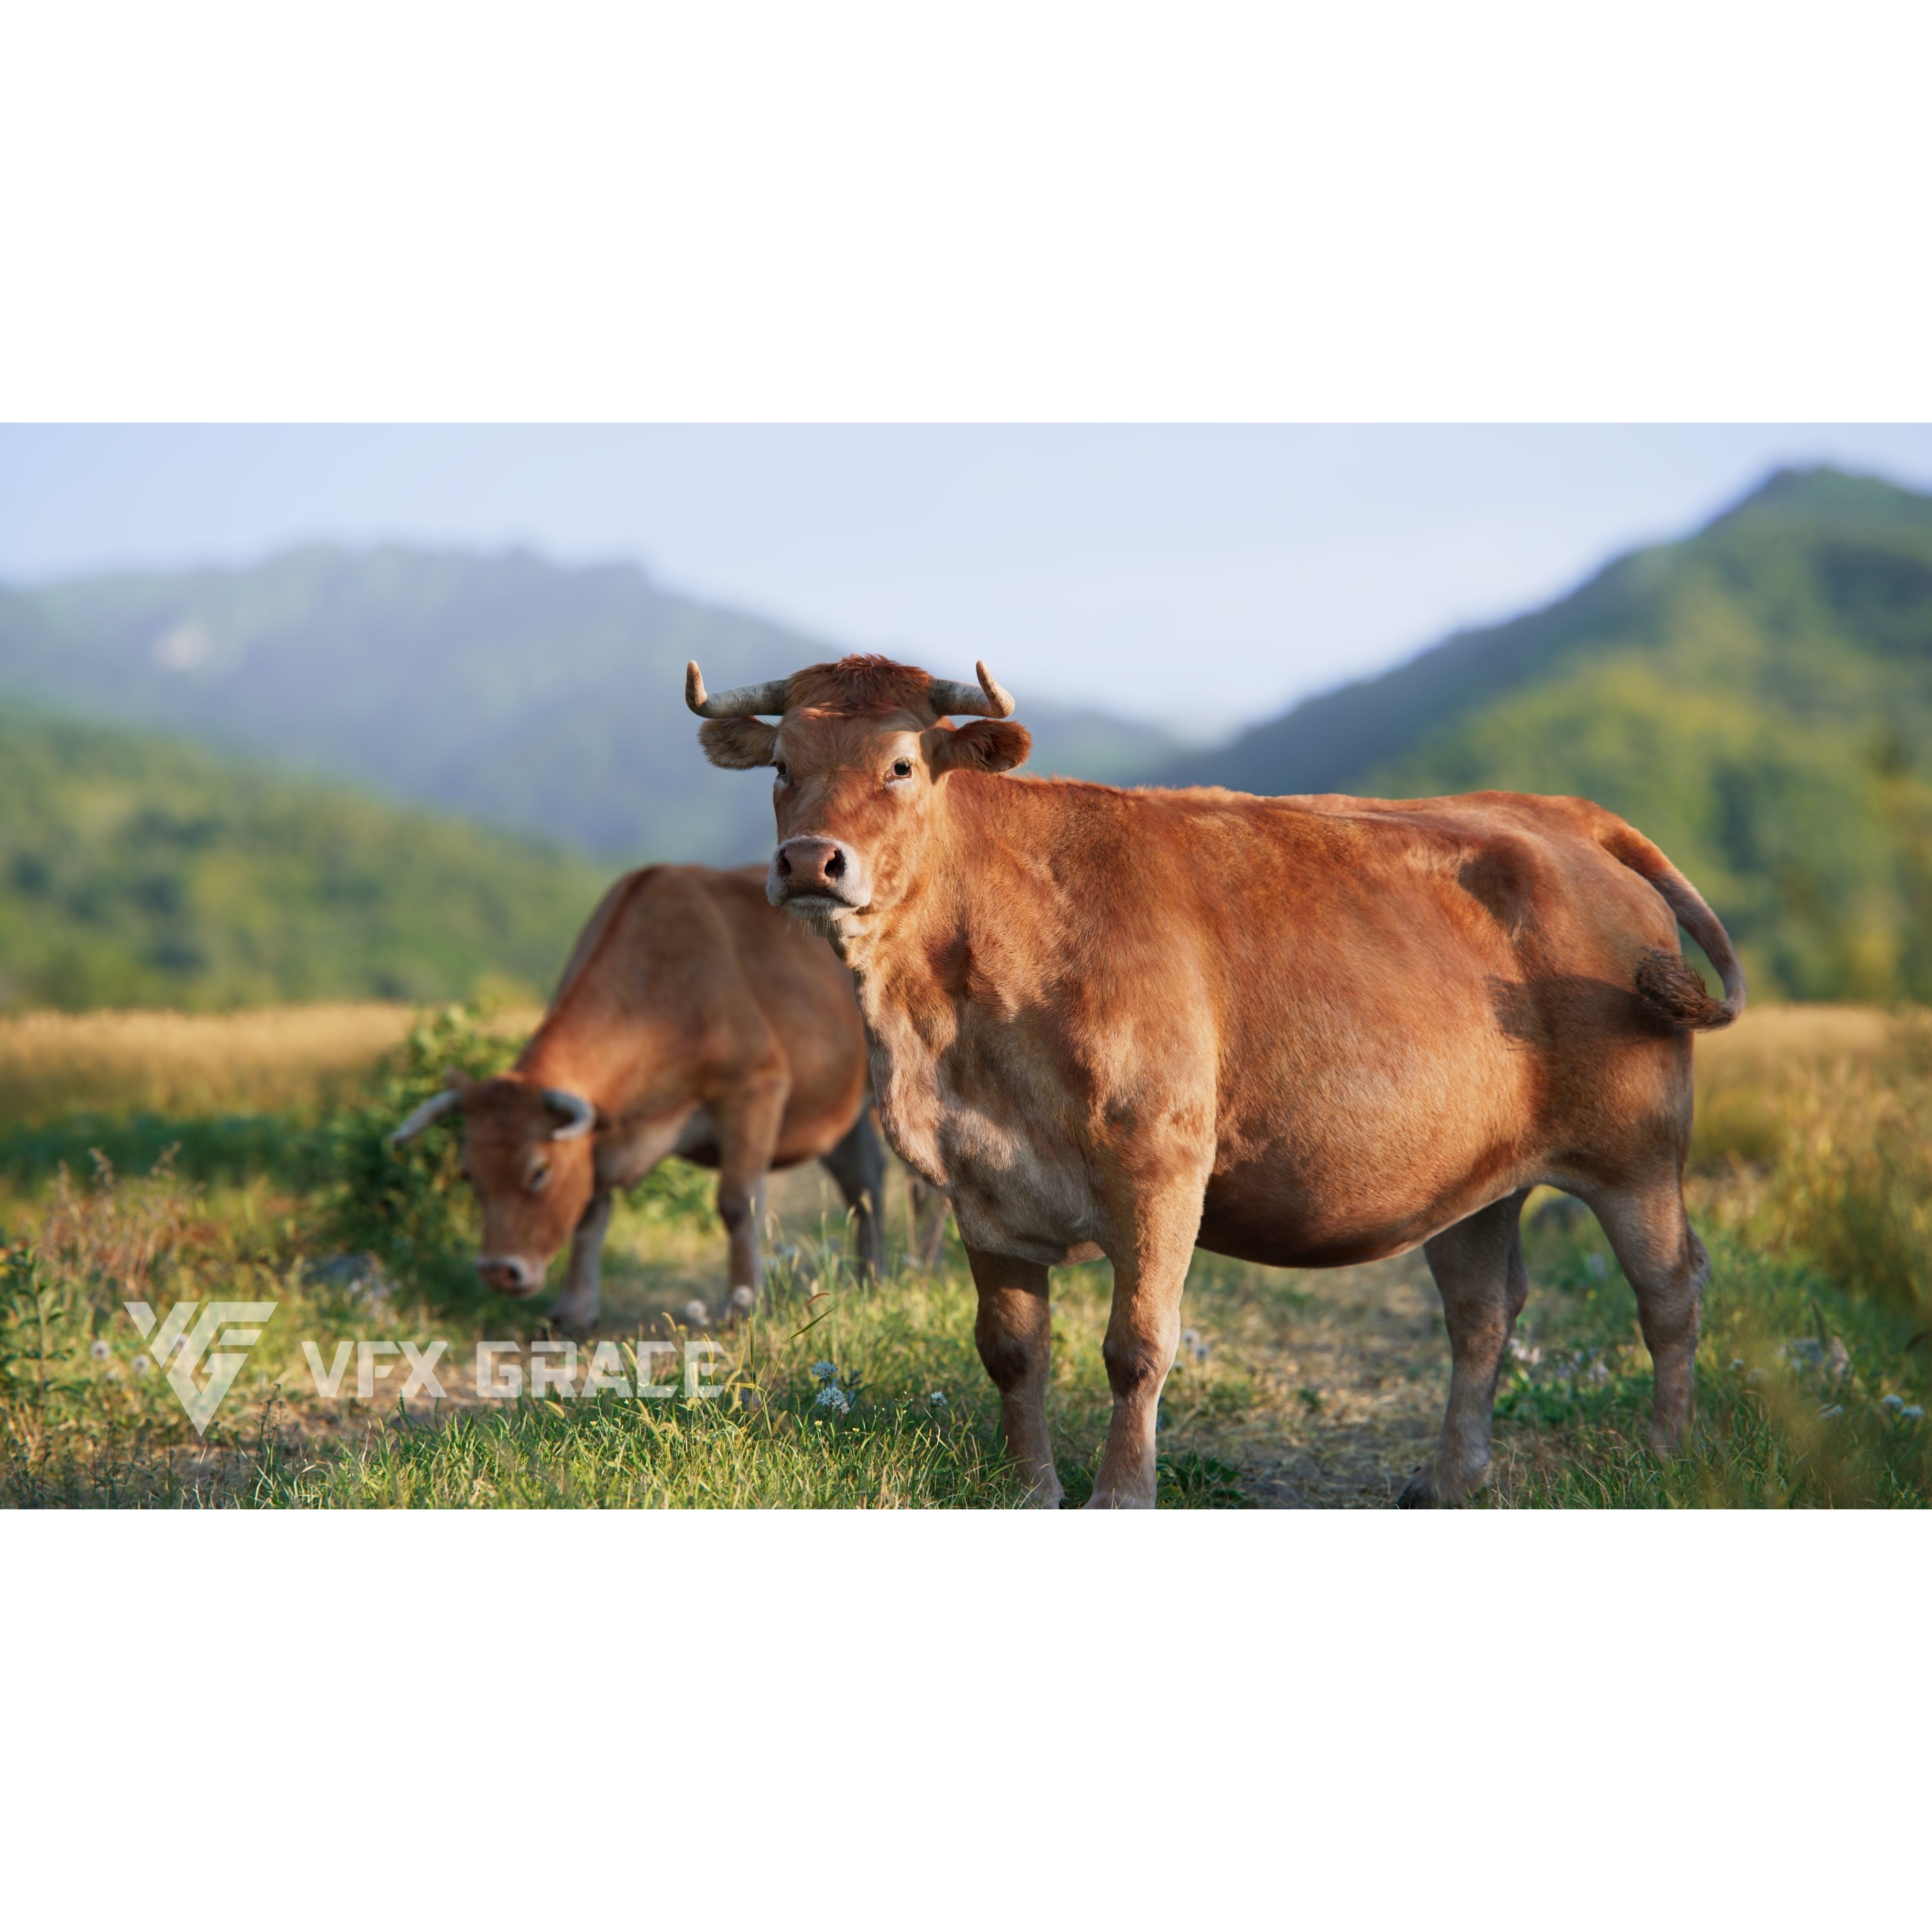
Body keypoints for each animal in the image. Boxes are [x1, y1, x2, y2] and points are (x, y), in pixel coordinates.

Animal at [388, 863, 885, 1330]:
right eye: (468, 1173)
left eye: (539, 1171)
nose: (497, 1271)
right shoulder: (597, 1137)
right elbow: (590, 1214)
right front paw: (574, 1310)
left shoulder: (754, 1089)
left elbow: (737, 1204)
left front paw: (743, 1306)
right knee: (864, 1182)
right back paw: (870, 1280)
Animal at [686, 652, 1746, 1508]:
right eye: (782, 769)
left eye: (901, 765)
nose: (809, 862)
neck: (947, 1026)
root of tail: (1561, 816)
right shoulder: (979, 1179)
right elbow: (1012, 1352)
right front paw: (1031, 1490)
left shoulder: (1160, 1165)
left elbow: (1137, 1348)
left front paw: (1121, 1495)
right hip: (1475, 1177)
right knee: (1483, 1312)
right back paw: (1448, 1479)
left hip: (1637, 1151)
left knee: (1670, 1290)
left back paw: (1663, 1456)